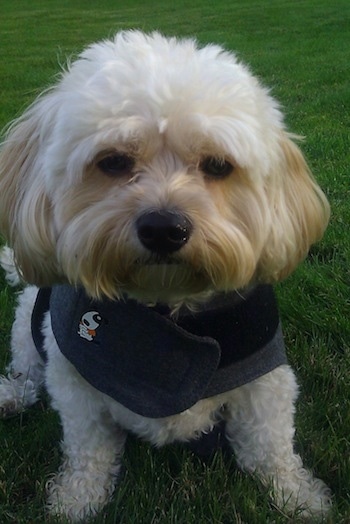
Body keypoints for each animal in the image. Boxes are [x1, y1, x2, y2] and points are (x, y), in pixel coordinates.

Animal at [0, 31, 330, 520]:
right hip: (28, 326)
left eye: (217, 166)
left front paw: (297, 496)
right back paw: (10, 396)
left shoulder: (265, 381)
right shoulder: (75, 384)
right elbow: (88, 449)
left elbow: (270, 446)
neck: (166, 308)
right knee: (27, 376)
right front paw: (77, 499)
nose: (163, 228)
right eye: (113, 162)